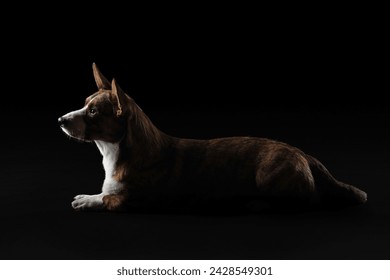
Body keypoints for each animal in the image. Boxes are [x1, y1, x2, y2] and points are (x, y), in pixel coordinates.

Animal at [57, 64, 366, 212]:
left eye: (93, 112)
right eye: (84, 104)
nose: (60, 120)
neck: (114, 151)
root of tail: (305, 154)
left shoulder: (139, 199)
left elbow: (109, 198)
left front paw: (87, 200)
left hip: (269, 173)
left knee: (303, 201)